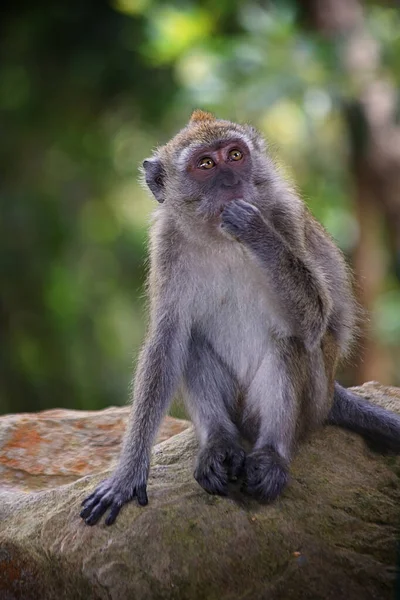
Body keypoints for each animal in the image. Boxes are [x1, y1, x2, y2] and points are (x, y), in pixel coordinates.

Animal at [80, 111, 400, 524]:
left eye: (235, 155)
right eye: (205, 164)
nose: (232, 183)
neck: (220, 238)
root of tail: (332, 392)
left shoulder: (286, 214)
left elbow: (315, 321)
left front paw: (254, 229)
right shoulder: (167, 242)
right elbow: (168, 340)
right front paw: (128, 474)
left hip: (312, 399)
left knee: (291, 341)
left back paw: (272, 454)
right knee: (192, 339)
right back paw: (219, 443)